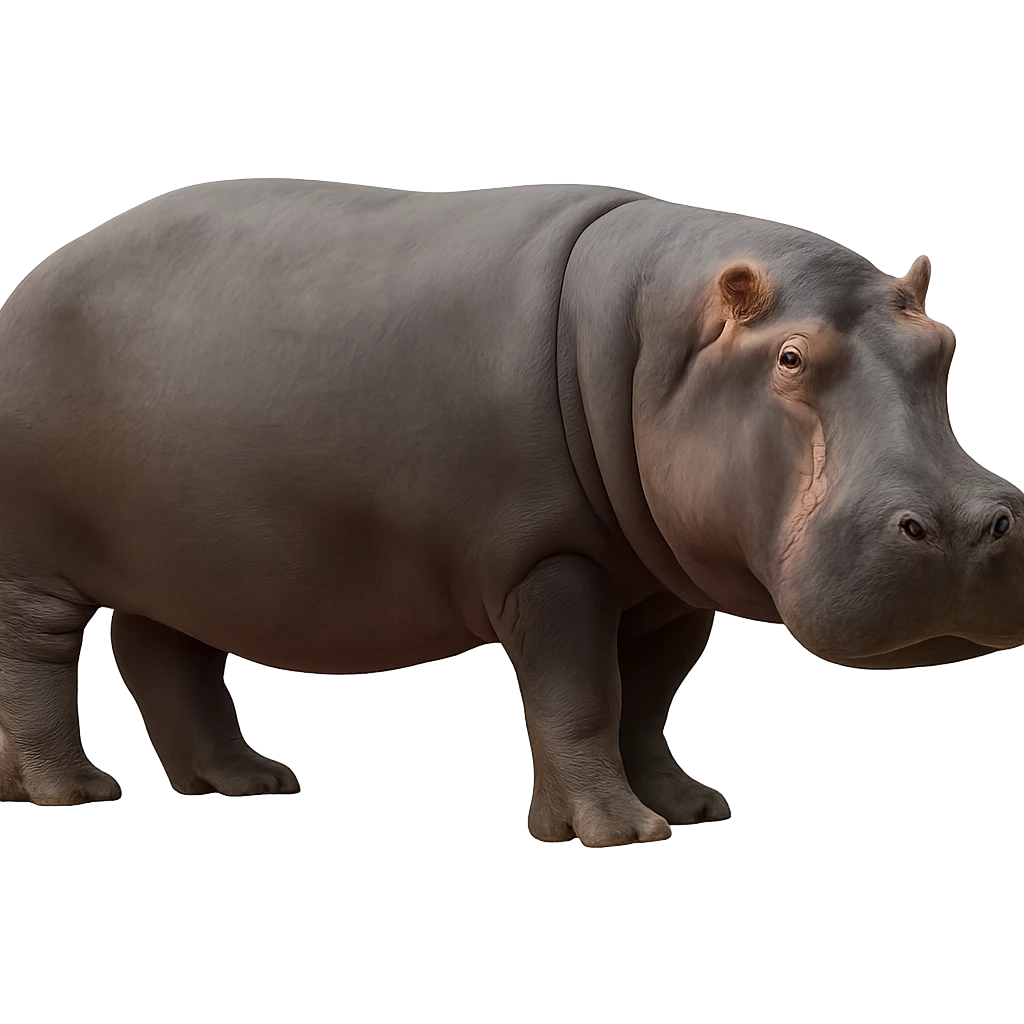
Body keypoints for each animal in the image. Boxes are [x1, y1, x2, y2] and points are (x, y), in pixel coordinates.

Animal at [0, 180, 1019, 841]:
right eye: (792, 358)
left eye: (946, 343)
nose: (963, 529)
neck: (659, 343)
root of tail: (36, 269)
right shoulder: (548, 560)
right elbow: (582, 697)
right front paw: (620, 832)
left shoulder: (663, 584)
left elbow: (649, 700)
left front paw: (689, 808)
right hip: (38, 562)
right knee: (37, 661)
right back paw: (72, 791)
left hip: (182, 557)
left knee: (166, 657)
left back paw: (246, 782)